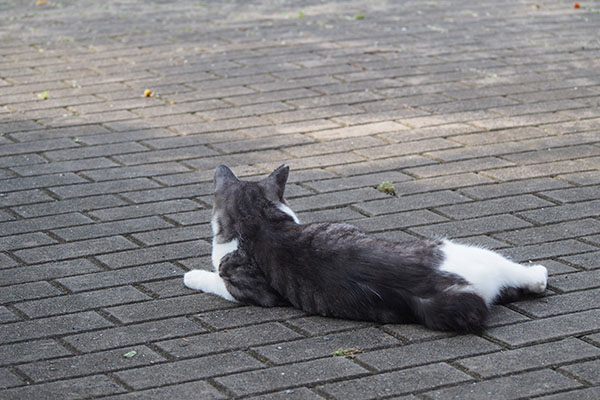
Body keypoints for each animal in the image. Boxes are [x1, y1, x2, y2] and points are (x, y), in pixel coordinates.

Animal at [184, 164, 548, 332]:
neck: (257, 222)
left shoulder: (244, 289)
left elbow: (211, 278)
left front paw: (191, 275)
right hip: (474, 257)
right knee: (529, 279)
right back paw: (537, 275)